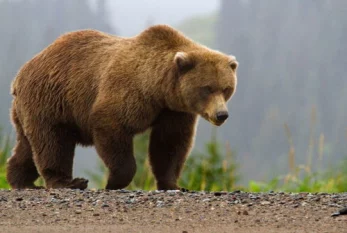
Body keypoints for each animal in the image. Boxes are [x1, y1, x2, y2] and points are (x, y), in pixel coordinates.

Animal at [6, 24, 239, 190]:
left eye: (226, 88)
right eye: (207, 88)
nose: (221, 114)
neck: (159, 89)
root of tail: (20, 74)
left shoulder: (173, 110)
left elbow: (170, 143)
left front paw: (173, 184)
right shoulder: (129, 92)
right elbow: (112, 126)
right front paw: (114, 182)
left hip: (30, 109)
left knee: (28, 145)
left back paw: (20, 180)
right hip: (51, 99)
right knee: (53, 142)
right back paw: (68, 182)